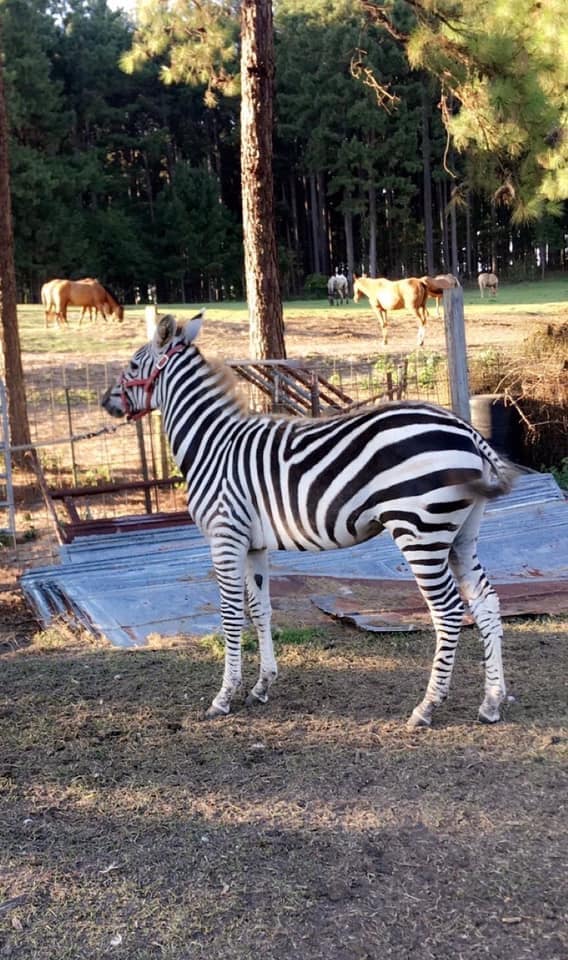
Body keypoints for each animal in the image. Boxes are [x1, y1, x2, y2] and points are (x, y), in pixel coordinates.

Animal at [101, 311, 516, 728]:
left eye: (133, 365)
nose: (106, 402)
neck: (212, 446)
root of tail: (468, 431)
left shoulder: (225, 536)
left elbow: (231, 616)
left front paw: (224, 696)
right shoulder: (254, 545)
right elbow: (261, 610)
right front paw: (261, 686)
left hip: (420, 532)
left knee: (448, 611)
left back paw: (427, 706)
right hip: (460, 534)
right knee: (486, 601)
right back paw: (492, 702)